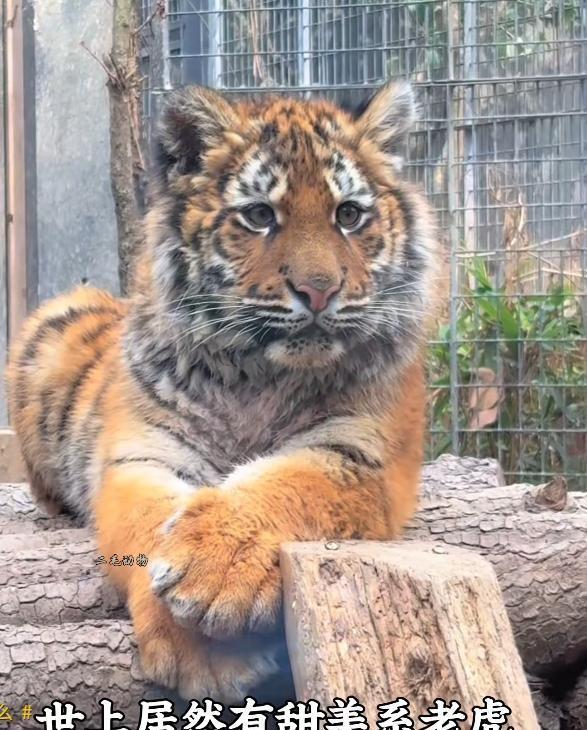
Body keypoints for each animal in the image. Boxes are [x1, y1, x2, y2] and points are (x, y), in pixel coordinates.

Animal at [7, 80, 440, 700]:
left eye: (349, 215)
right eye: (259, 215)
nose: (319, 290)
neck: (260, 375)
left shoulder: (362, 455)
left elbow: (289, 483)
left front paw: (219, 567)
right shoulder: (142, 456)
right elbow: (146, 525)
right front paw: (201, 651)